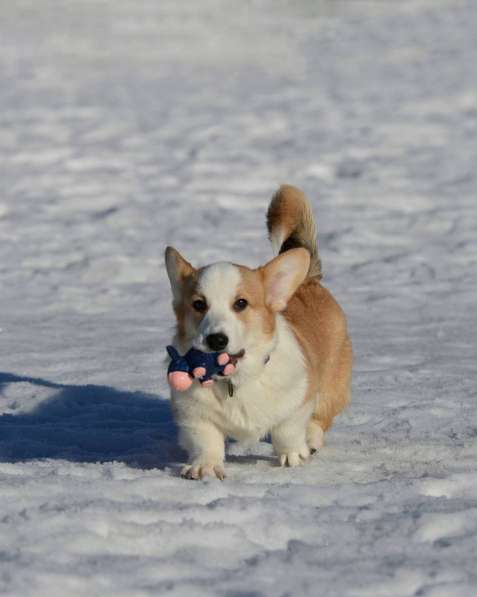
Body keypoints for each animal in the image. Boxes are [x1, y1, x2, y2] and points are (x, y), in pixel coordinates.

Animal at [165, 184, 352, 478]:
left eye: (241, 303)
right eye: (198, 304)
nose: (217, 340)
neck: (236, 379)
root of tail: (308, 279)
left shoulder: (299, 399)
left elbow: (288, 431)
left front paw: (293, 456)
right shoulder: (194, 415)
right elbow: (206, 440)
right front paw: (205, 467)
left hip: (332, 386)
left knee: (319, 419)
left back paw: (311, 440)